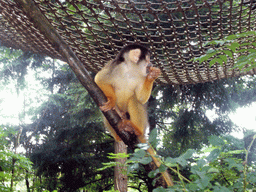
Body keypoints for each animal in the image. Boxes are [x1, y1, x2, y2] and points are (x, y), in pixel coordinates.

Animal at [95, 44, 173, 186]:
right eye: (147, 59)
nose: (150, 64)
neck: (130, 71)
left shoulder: (141, 76)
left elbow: (141, 98)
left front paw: (152, 76)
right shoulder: (114, 67)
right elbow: (99, 80)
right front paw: (112, 100)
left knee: (134, 99)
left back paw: (136, 129)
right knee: (105, 111)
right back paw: (118, 132)